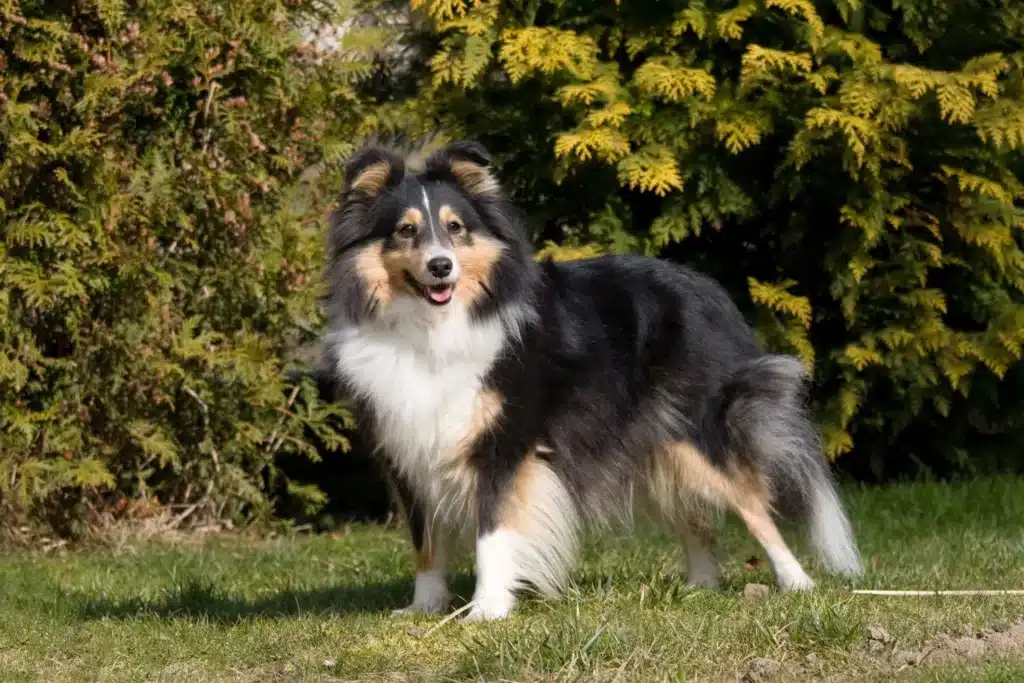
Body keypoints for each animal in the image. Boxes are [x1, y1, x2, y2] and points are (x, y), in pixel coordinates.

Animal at [321, 139, 864, 618]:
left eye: (456, 228)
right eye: (405, 231)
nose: (441, 267)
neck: (434, 327)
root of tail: (708, 288)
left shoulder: (504, 446)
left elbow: (492, 532)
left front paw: (487, 610)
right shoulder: (409, 450)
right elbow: (426, 542)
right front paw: (423, 609)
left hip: (699, 434)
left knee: (755, 506)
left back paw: (798, 583)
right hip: (659, 445)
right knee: (695, 518)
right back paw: (699, 588)